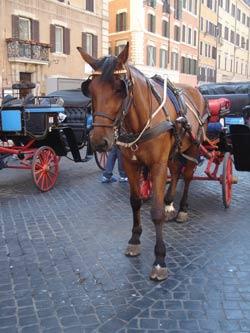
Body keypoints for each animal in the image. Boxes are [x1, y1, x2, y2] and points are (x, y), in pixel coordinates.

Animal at [77, 42, 208, 280]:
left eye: (120, 89)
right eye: (89, 90)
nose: (99, 142)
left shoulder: (157, 165)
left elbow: (155, 212)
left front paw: (159, 259)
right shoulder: (130, 164)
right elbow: (135, 202)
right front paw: (135, 239)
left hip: (193, 146)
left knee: (187, 175)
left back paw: (182, 209)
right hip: (175, 150)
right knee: (176, 170)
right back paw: (169, 203)